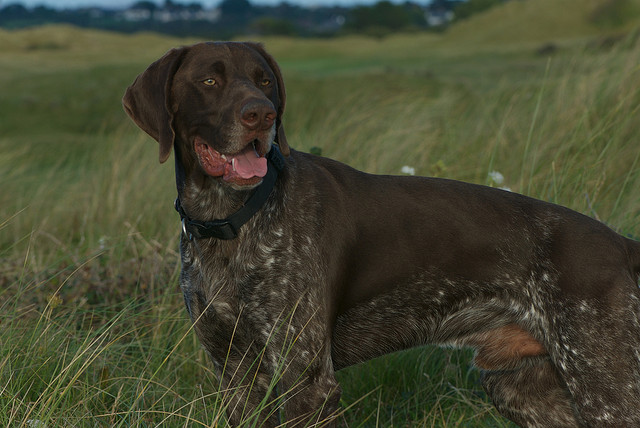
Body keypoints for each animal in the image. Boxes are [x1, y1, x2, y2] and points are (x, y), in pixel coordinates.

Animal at [124, 41, 640, 426]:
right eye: (209, 81)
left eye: (264, 80)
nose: (262, 114)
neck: (229, 221)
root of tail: (623, 244)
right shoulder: (235, 376)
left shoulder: (306, 381)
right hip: (522, 387)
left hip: (605, 389)